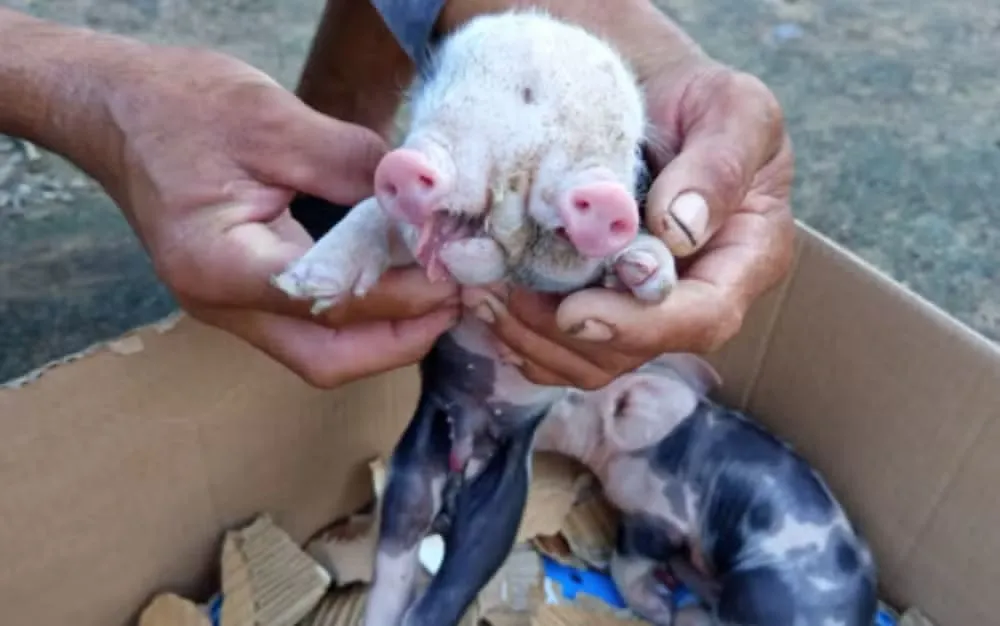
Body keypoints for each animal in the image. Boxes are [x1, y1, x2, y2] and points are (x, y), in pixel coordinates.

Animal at [271, 9, 677, 626]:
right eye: (436, 86)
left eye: (631, 151)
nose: (604, 197)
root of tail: (465, 456)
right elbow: (373, 212)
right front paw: (305, 283)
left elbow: (633, 259)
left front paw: (643, 270)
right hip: (411, 475)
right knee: (398, 569)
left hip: (501, 509)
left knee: (451, 585)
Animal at [533, 354, 880, 626]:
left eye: (567, 393)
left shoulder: (661, 517)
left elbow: (629, 561)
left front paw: (659, 609)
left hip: (756, 594)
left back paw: (685, 612)